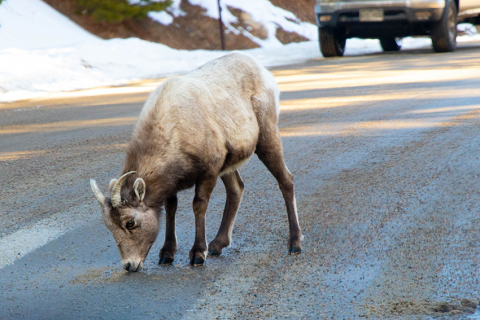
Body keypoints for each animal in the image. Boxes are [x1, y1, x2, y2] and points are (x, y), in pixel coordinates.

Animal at [89, 51, 300, 272]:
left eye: (130, 222)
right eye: (109, 226)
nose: (130, 265)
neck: (173, 129)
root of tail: (263, 71)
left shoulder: (209, 171)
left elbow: (198, 205)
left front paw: (198, 254)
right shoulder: (177, 183)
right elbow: (171, 208)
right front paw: (167, 255)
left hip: (267, 139)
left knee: (285, 180)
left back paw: (294, 244)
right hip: (228, 166)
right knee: (236, 189)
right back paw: (217, 245)